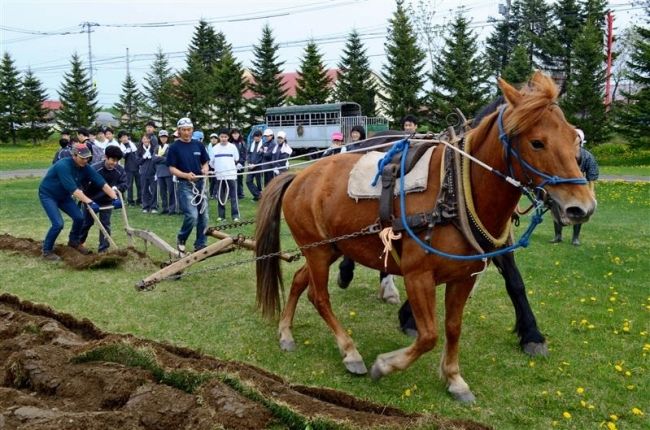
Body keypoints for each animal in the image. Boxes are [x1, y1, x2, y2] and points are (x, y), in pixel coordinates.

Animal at [253, 72, 592, 402]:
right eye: (537, 142)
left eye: (574, 139)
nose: (582, 206)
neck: (456, 189)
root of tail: (299, 175)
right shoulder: (418, 275)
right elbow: (429, 335)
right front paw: (386, 364)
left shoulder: (465, 275)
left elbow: (454, 326)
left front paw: (455, 378)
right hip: (318, 251)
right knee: (318, 296)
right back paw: (350, 352)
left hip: (329, 246)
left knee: (300, 280)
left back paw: (286, 332)